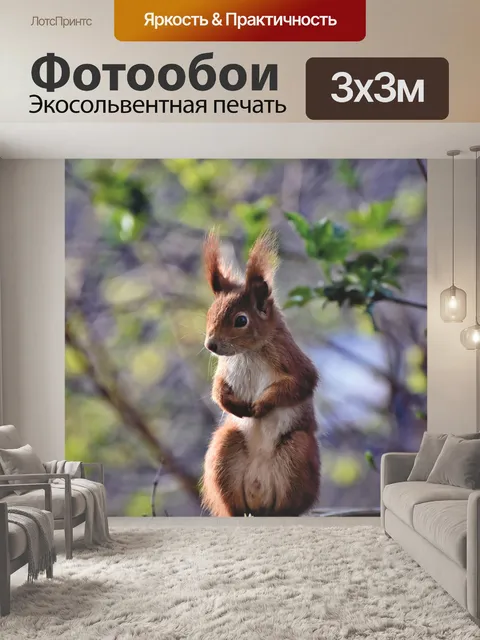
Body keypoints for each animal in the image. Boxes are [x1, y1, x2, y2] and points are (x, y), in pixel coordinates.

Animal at [201, 230, 320, 517]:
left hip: (298, 452)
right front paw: (230, 403)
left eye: (241, 320)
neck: (248, 353)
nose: (211, 345)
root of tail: (259, 496)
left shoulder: (292, 360)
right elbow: (217, 389)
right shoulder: (225, 368)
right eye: (209, 313)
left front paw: (262, 405)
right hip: (224, 450)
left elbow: (300, 384)